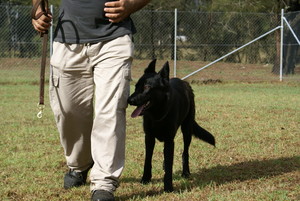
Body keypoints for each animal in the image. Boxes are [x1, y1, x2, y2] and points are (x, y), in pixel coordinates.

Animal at [127, 59, 214, 192]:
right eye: (136, 86)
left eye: (147, 87)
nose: (129, 100)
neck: (157, 114)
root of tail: (184, 83)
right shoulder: (149, 138)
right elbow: (148, 159)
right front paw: (145, 179)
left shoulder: (169, 140)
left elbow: (169, 164)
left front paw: (168, 186)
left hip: (186, 130)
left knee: (185, 152)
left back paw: (186, 172)